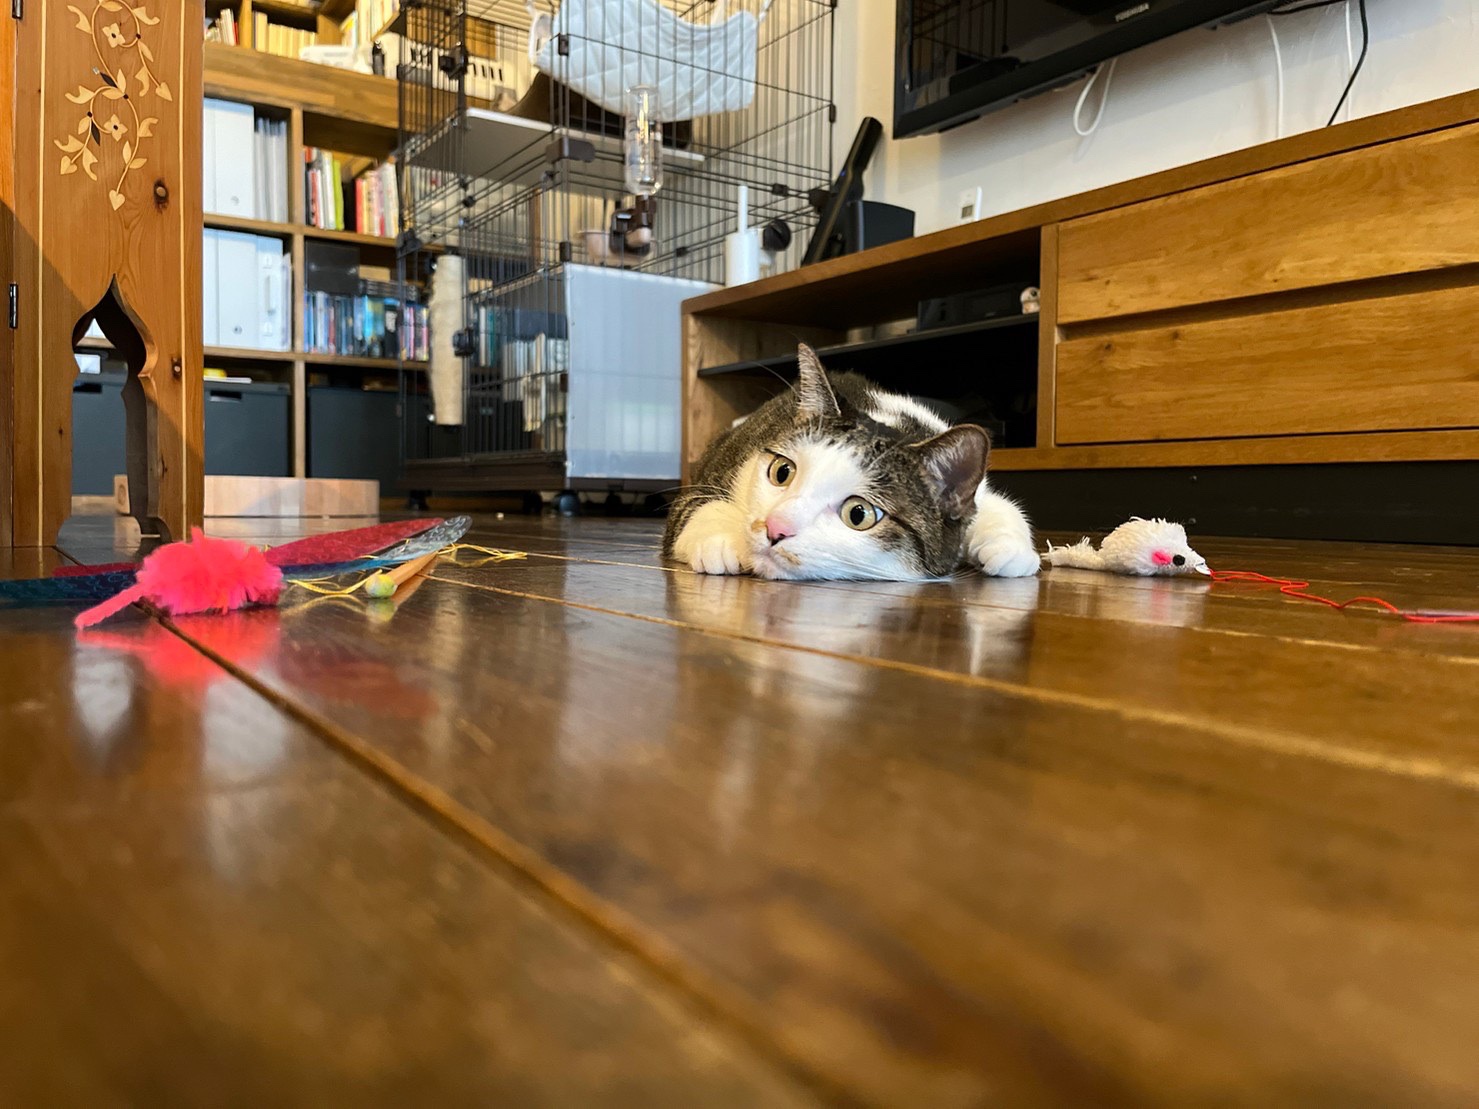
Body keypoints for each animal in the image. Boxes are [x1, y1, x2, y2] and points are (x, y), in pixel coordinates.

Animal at [662, 344, 1040, 581]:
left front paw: (1011, 549)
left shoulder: (977, 494)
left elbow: (999, 505)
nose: (775, 527)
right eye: (782, 472)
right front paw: (722, 541)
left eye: (858, 514)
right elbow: (696, 505)